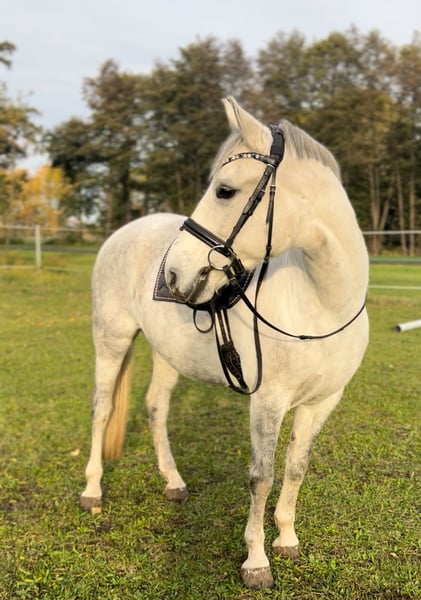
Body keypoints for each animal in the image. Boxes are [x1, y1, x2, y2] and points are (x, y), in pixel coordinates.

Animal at [80, 97, 369, 589]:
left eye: (225, 191)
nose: (174, 273)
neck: (322, 303)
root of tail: (125, 231)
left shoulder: (323, 401)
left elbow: (296, 468)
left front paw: (286, 539)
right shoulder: (268, 400)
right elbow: (261, 476)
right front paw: (256, 561)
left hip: (166, 354)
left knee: (156, 408)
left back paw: (173, 482)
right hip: (111, 339)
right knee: (102, 408)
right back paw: (92, 490)